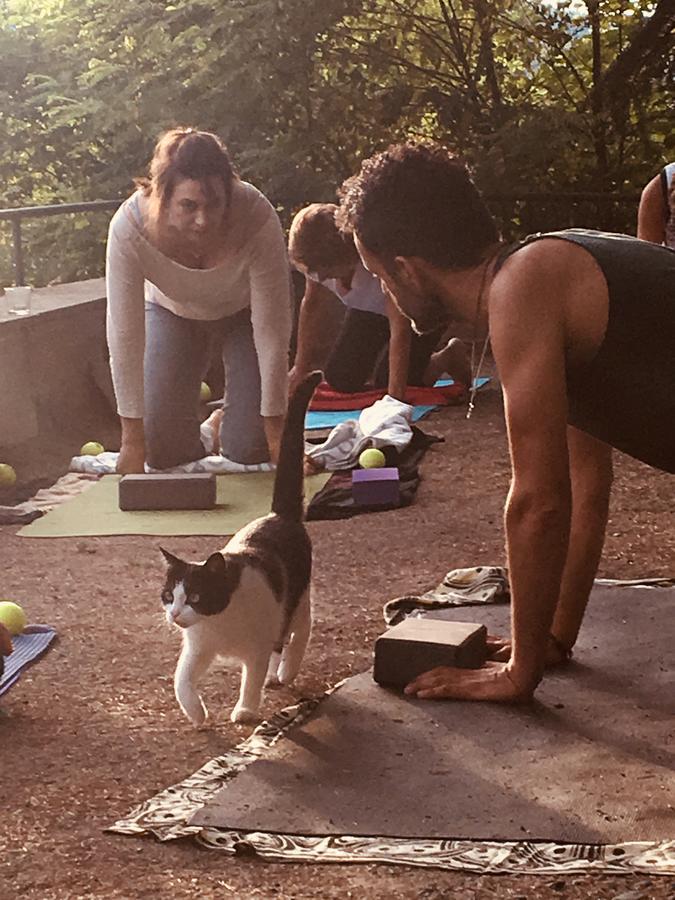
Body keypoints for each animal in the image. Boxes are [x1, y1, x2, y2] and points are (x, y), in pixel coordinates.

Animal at [161, 370, 324, 728]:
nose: (175, 614)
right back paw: (276, 675)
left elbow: (252, 677)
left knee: (299, 632)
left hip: (296, 597)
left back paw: (286, 670)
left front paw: (246, 710)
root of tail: (278, 515)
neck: (219, 622)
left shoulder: (256, 646)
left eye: (195, 596)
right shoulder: (197, 647)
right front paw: (196, 713)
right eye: (168, 596)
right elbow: (182, 679)